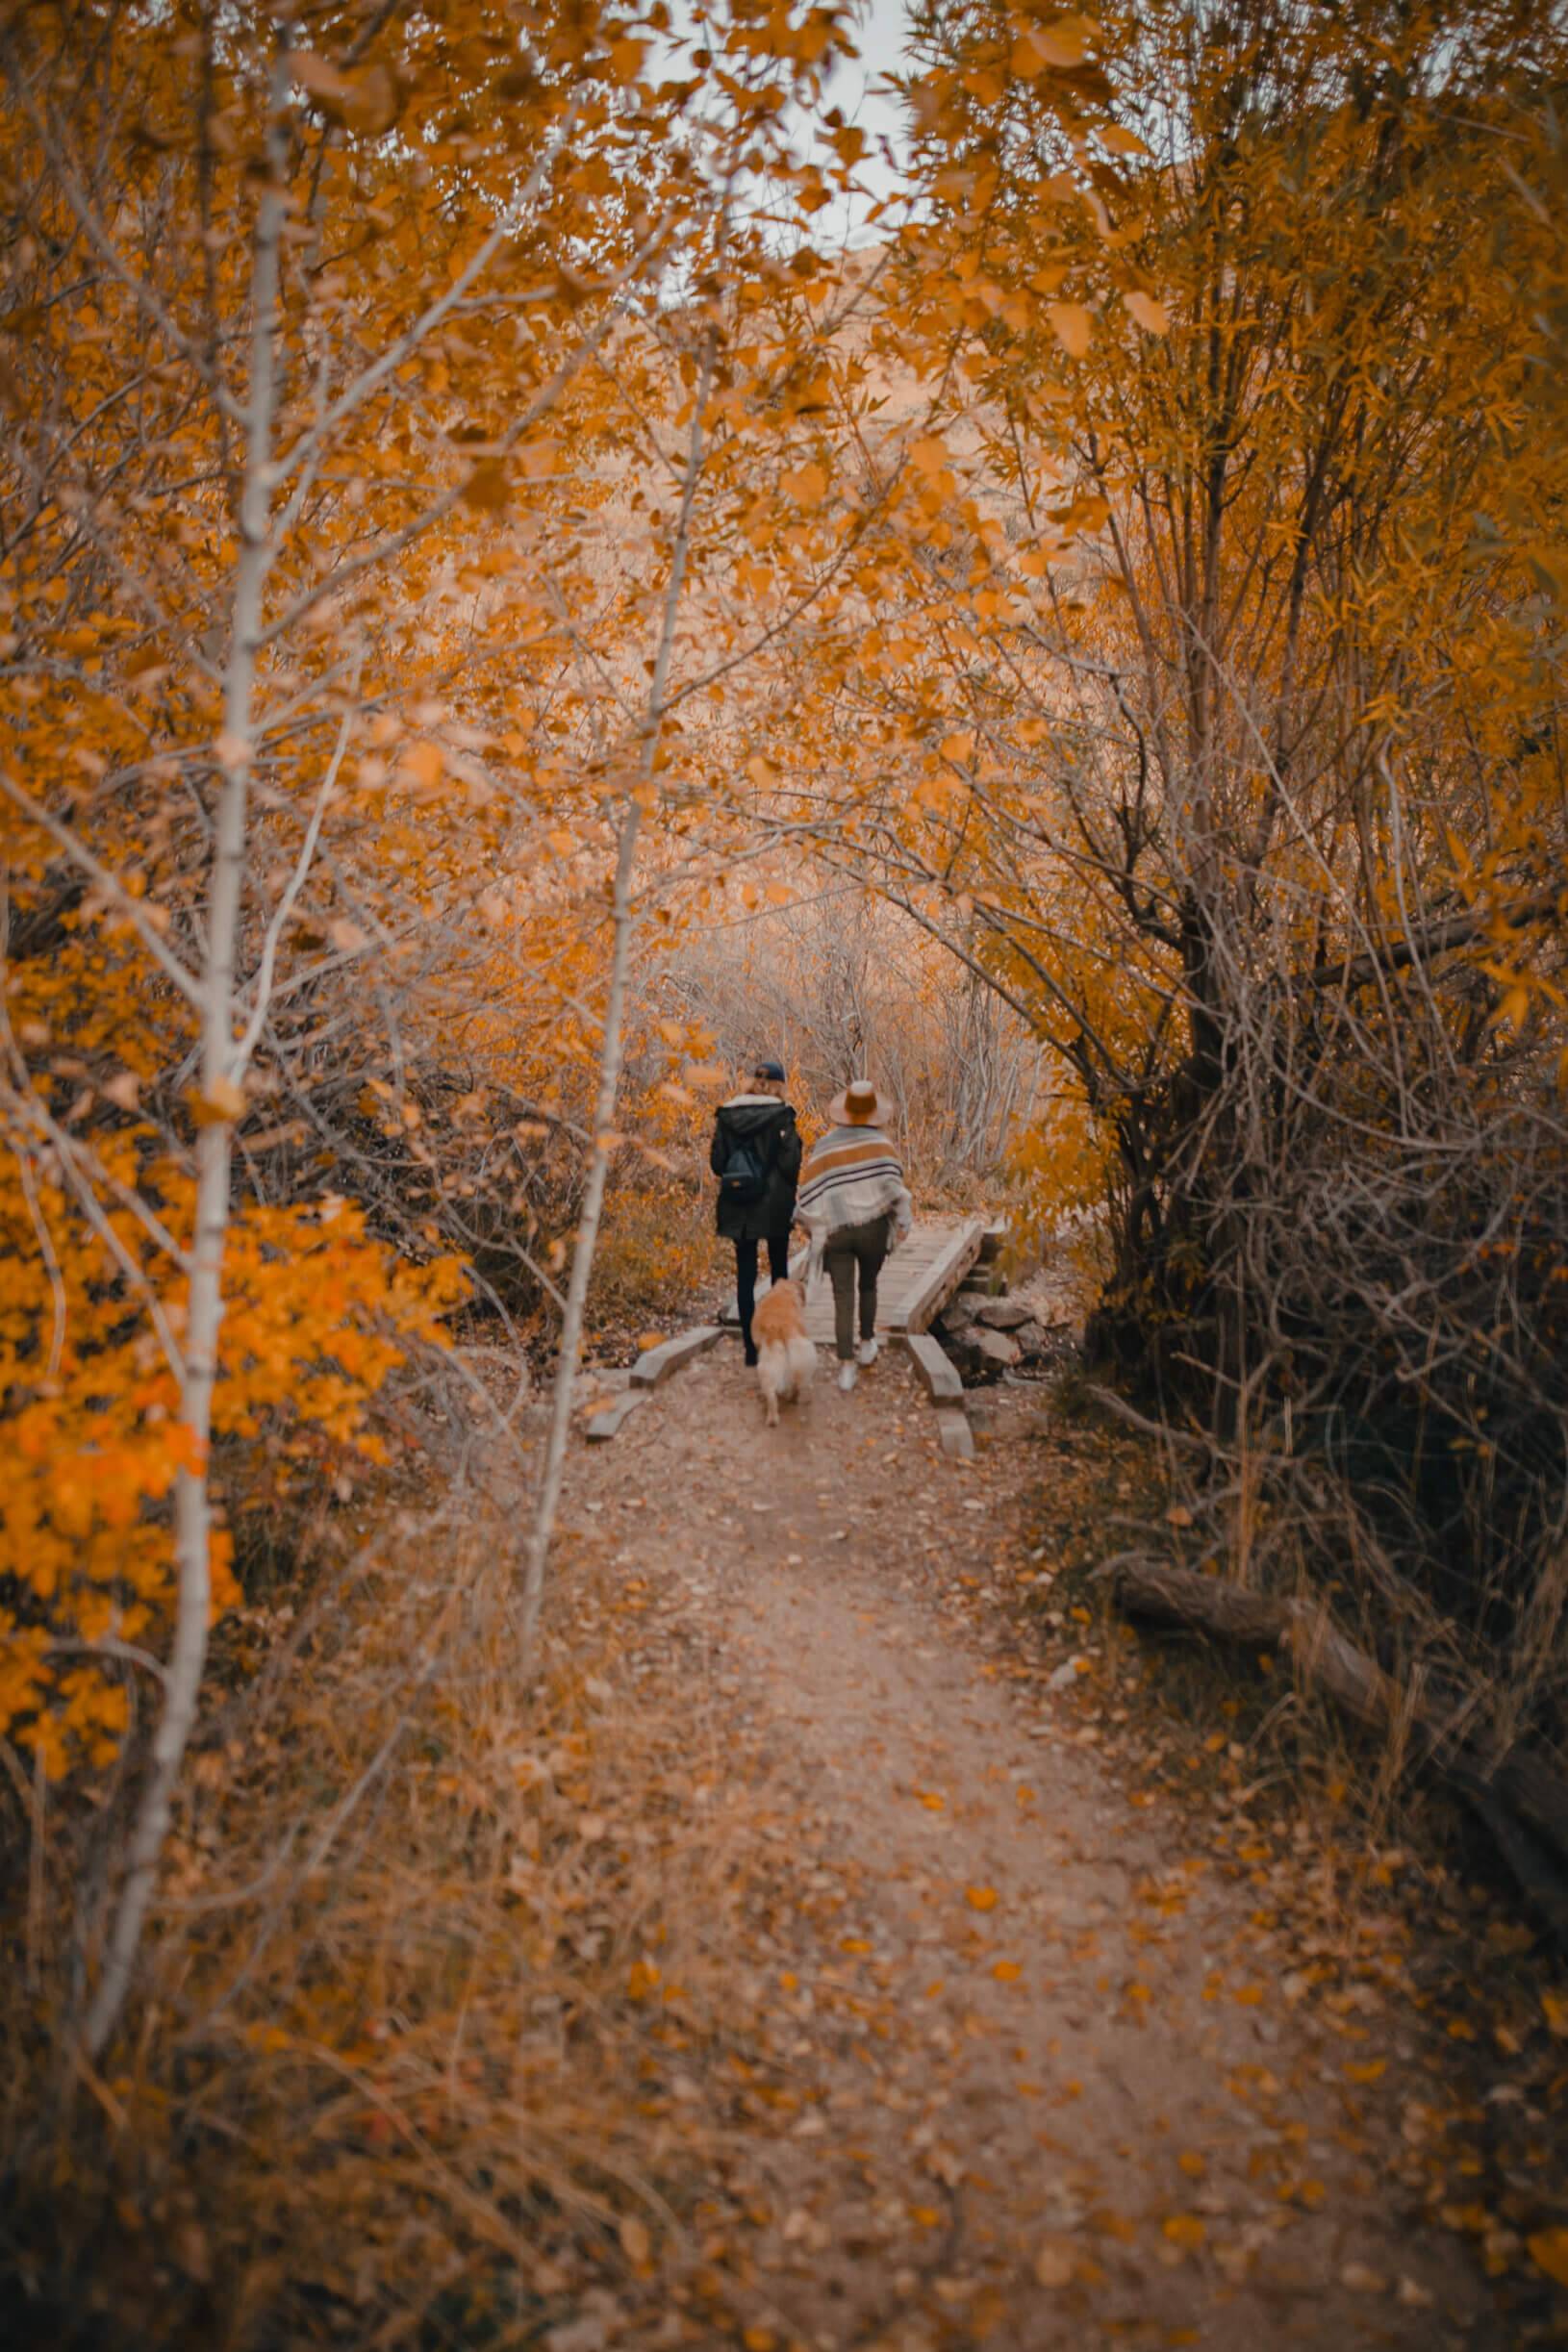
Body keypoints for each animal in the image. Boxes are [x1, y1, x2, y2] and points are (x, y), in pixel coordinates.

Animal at [752, 1279, 818, 1420]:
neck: (784, 1291)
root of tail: (783, 1327)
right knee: (796, 1385)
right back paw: (793, 1398)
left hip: (766, 1366)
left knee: (771, 1395)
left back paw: (771, 1417)